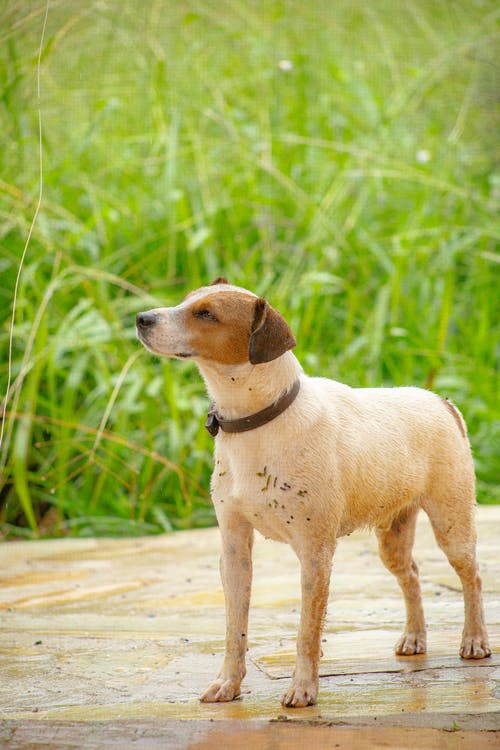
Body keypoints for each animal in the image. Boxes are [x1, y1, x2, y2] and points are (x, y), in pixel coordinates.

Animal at [136, 280, 488, 708]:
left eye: (206, 314)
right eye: (186, 299)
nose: (141, 318)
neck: (259, 421)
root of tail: (440, 401)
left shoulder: (315, 554)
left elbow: (307, 630)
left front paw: (303, 687)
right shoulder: (234, 552)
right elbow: (235, 627)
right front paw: (229, 683)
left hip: (453, 526)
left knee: (472, 577)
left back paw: (475, 640)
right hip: (392, 536)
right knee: (413, 576)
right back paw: (414, 636)